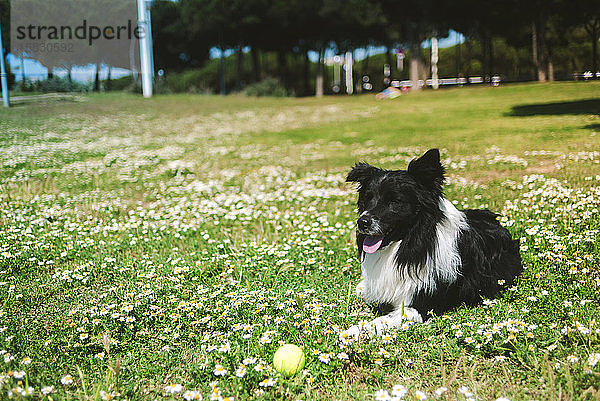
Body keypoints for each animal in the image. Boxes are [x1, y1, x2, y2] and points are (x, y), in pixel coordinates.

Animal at [342, 148, 520, 340]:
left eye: (394, 202)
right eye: (367, 199)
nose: (362, 222)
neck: (409, 243)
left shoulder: (420, 306)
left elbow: (381, 320)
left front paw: (354, 331)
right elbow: (360, 291)